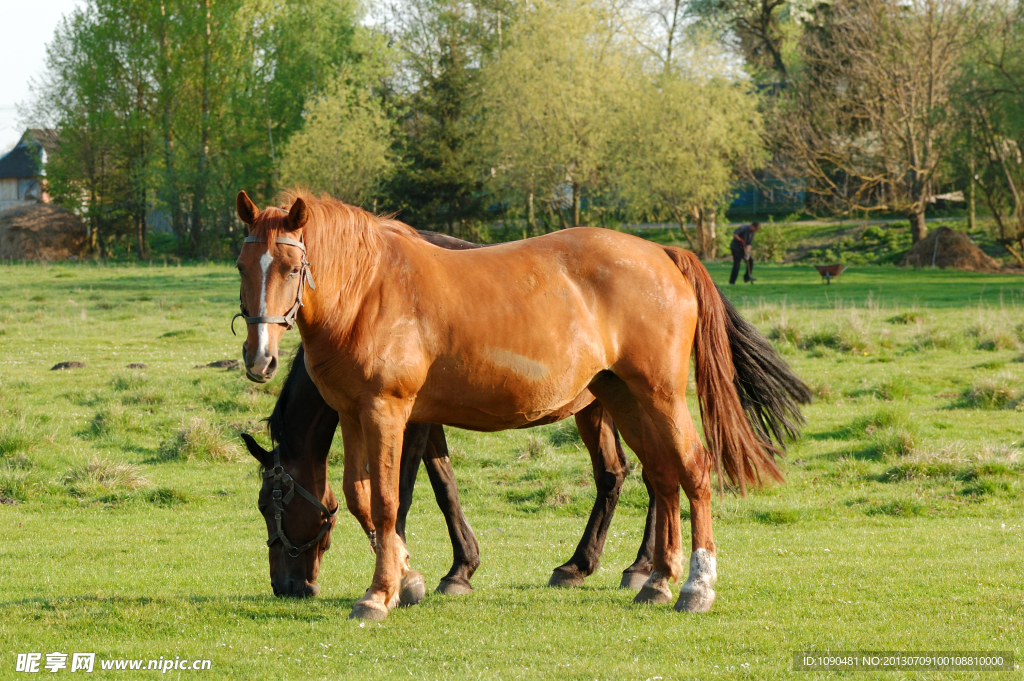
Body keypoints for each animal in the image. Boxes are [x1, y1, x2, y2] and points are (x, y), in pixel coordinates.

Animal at [235, 188, 811, 618]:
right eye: (242, 265)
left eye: (290, 267)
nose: (287, 586)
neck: (370, 289)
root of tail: (663, 254)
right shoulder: (359, 416)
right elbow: (364, 499)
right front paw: (410, 573)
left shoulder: (394, 414)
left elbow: (395, 499)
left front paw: (387, 590)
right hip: (622, 397)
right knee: (661, 476)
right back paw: (652, 579)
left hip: (658, 395)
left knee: (690, 468)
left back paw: (694, 585)